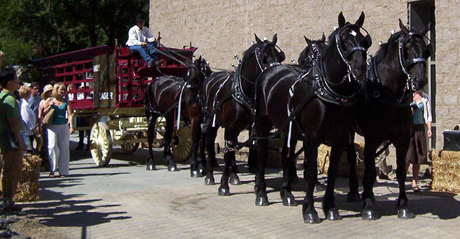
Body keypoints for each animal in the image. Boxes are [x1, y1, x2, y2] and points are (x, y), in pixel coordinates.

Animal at [203, 34, 286, 196]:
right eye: (264, 58)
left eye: (280, 57)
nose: (275, 75)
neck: (243, 92)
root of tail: (211, 78)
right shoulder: (229, 126)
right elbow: (227, 154)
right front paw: (223, 186)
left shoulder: (256, 128)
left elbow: (257, 152)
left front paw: (257, 185)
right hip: (213, 123)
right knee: (210, 144)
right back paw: (210, 175)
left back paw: (234, 176)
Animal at [253, 12, 372, 223]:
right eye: (343, 40)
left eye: (363, 41)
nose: (359, 69)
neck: (330, 90)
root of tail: (270, 70)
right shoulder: (312, 137)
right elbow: (311, 172)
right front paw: (309, 210)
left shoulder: (340, 138)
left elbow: (332, 171)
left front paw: (330, 207)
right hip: (262, 123)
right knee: (262, 154)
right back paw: (261, 194)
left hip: (288, 129)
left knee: (286, 156)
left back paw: (287, 194)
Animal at [346, 20, 434, 220]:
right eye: (407, 49)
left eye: (426, 50)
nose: (420, 80)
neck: (388, 92)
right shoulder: (371, 139)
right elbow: (370, 170)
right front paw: (369, 206)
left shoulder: (403, 139)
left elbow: (401, 171)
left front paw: (404, 205)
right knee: (350, 155)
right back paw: (355, 191)